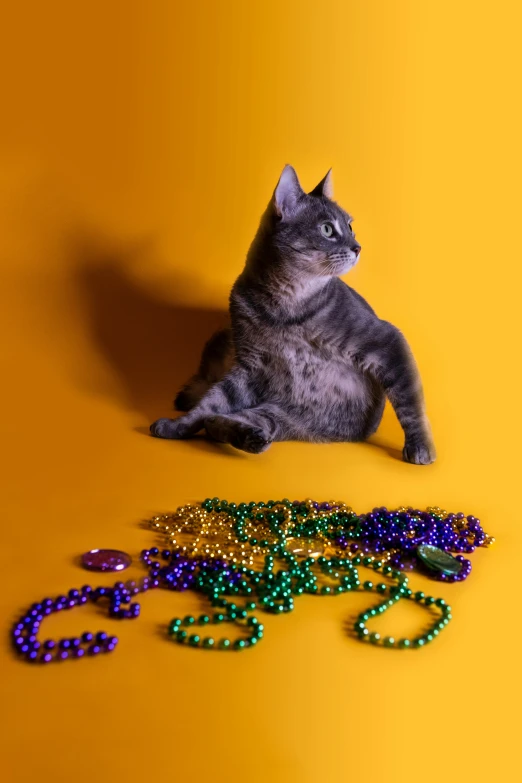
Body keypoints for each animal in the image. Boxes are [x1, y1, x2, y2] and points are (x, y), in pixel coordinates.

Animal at [148, 162, 432, 462]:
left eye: (350, 227)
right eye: (328, 229)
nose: (358, 247)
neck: (284, 306)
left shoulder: (385, 338)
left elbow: (410, 403)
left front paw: (420, 446)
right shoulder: (250, 365)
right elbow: (210, 403)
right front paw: (177, 425)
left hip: (284, 415)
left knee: (226, 421)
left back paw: (251, 437)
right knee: (215, 419)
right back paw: (249, 437)